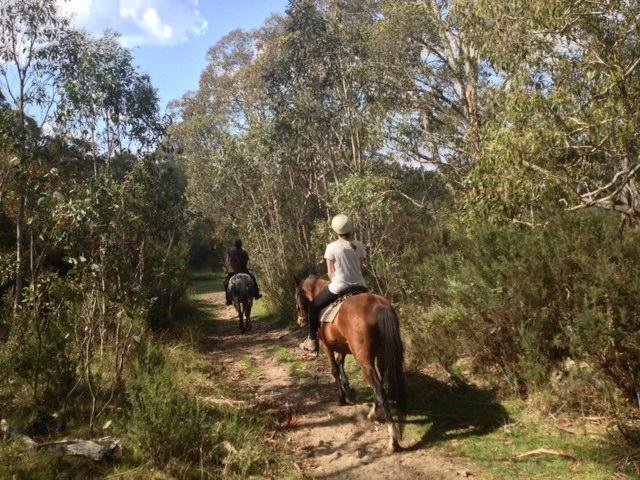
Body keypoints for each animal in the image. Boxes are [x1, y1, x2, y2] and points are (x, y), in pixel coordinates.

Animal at [294, 274, 404, 450]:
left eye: (297, 296)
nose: (301, 321)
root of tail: (379, 305)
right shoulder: (343, 346)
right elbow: (341, 363)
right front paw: (348, 391)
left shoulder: (326, 346)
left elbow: (334, 369)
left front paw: (341, 398)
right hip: (381, 355)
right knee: (380, 384)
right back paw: (372, 414)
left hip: (364, 359)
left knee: (379, 388)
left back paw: (392, 439)